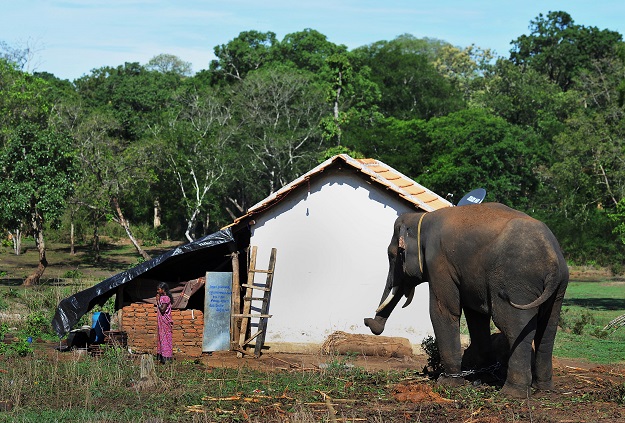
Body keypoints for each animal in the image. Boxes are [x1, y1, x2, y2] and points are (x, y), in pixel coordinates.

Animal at [364, 204, 568, 400]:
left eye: (391, 255)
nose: (368, 322)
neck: (421, 217)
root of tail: (552, 258)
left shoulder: (439, 262)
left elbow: (443, 311)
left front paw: (448, 383)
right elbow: (476, 316)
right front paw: (484, 377)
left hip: (516, 283)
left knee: (514, 327)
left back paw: (512, 393)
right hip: (559, 288)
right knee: (548, 331)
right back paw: (543, 388)